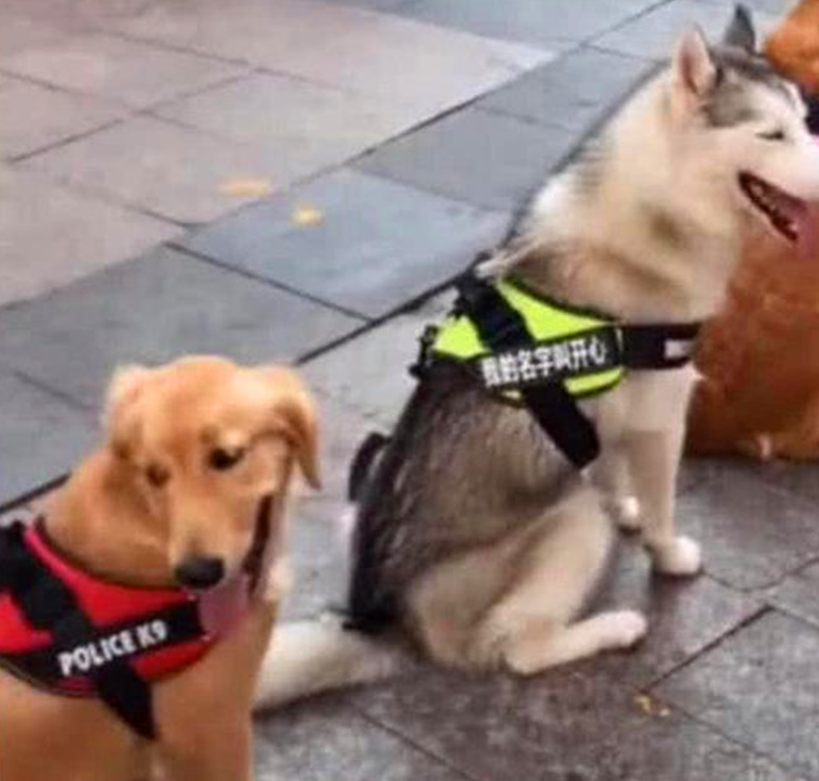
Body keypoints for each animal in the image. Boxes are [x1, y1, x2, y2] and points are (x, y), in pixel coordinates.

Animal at [253, 4, 819, 700]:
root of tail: (390, 621)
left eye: (804, 120)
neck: (661, 211)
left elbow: (610, 468)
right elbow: (661, 508)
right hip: (571, 524)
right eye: (771, 134)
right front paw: (667, 552)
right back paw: (612, 628)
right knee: (519, 651)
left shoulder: (614, 414)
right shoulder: (661, 414)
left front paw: (625, 504)